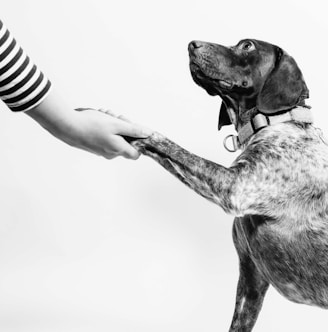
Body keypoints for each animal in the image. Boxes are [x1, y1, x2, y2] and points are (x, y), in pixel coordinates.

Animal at [131, 40, 328, 330]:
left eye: (247, 45)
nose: (191, 44)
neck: (276, 123)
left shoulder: (233, 186)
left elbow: (166, 144)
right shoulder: (251, 279)